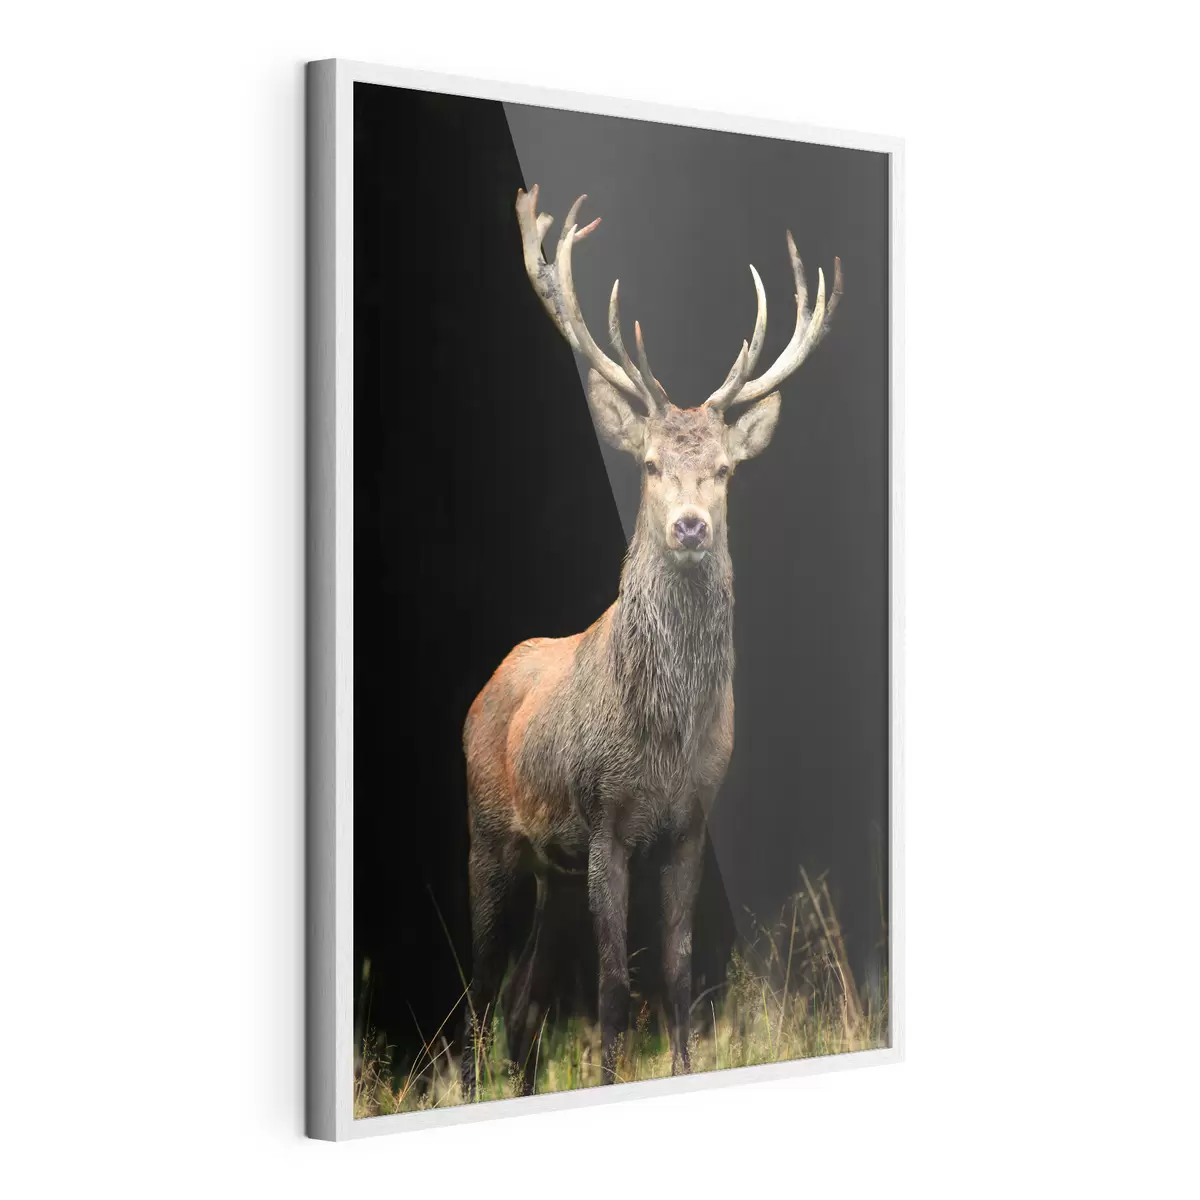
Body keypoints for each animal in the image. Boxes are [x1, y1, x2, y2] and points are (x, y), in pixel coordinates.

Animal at [460, 185, 842, 1097]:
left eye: (726, 470)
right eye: (651, 464)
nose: (691, 525)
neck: (663, 738)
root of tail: (483, 690)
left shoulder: (690, 820)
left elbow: (672, 971)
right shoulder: (606, 819)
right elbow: (611, 983)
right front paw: (607, 1076)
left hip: (554, 872)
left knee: (525, 1006)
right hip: (490, 836)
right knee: (481, 988)